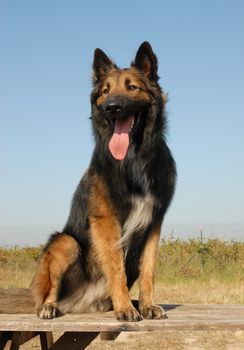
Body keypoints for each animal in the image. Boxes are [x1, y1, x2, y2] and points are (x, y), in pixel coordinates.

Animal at [0, 42, 176, 322]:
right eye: (106, 91)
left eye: (132, 87)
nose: (112, 107)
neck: (133, 160)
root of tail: (82, 304)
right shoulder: (106, 221)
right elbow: (116, 268)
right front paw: (125, 308)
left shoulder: (153, 222)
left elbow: (149, 269)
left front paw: (147, 305)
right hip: (65, 242)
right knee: (49, 292)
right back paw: (49, 307)